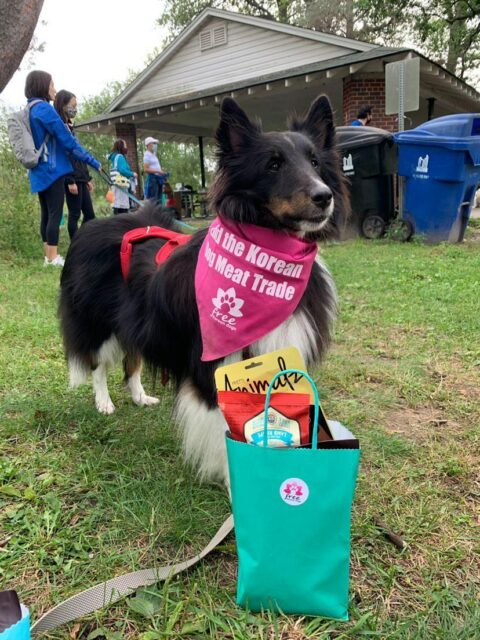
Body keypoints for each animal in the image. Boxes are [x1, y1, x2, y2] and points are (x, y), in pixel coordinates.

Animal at [59, 95, 348, 484]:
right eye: (273, 164)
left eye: (315, 161)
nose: (324, 196)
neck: (266, 257)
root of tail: (92, 226)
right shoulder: (212, 368)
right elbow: (222, 430)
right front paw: (233, 481)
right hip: (99, 324)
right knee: (98, 365)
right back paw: (104, 402)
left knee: (132, 362)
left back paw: (139, 397)